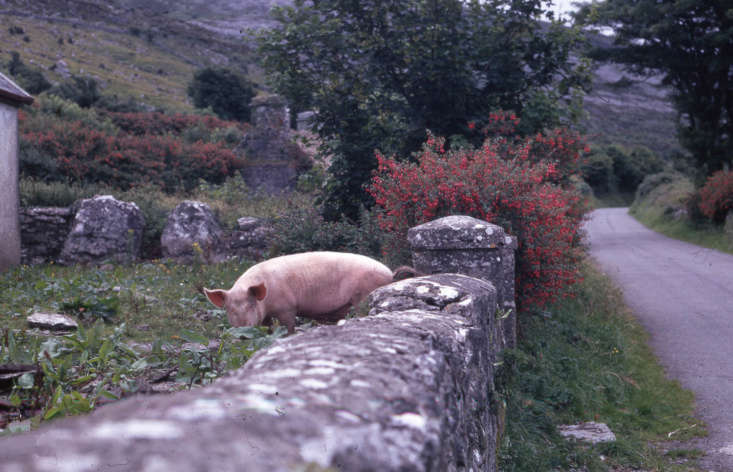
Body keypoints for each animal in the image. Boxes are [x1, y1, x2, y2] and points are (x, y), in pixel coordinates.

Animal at [203, 253, 414, 334]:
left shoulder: (287, 308)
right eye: (229, 309)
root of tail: (390, 273)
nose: (241, 331)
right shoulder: (266, 317)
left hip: (362, 297)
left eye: (250, 305)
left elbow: (288, 328)